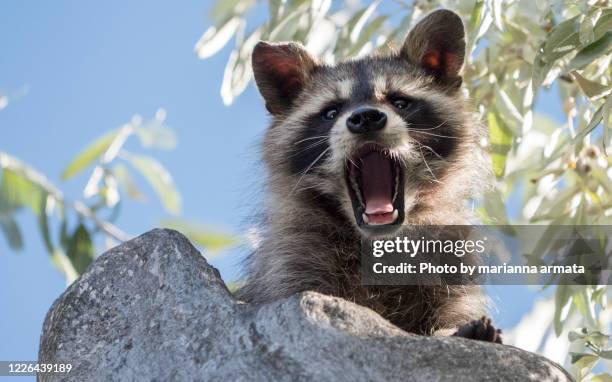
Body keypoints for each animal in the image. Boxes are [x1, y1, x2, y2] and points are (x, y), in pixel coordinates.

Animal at [237, 9, 500, 344]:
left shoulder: (449, 251)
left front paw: (455, 328)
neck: (380, 241)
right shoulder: (294, 252)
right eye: (331, 112)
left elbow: (452, 307)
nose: (365, 118)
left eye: (400, 101)